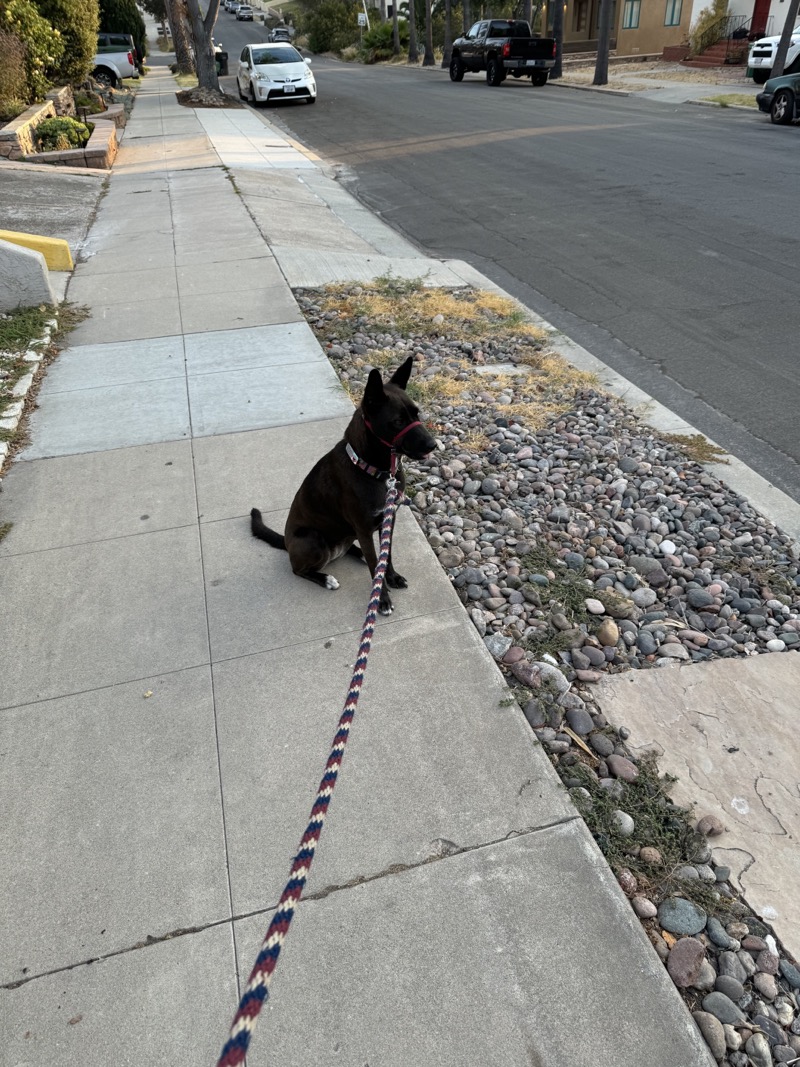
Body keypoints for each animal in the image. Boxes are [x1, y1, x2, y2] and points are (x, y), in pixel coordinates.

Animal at [253, 356, 435, 614]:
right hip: (312, 540)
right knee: (298, 570)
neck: (374, 471)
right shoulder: (364, 528)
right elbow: (375, 563)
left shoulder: (389, 520)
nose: (433, 444)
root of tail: (287, 543)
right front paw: (382, 599)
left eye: (417, 413)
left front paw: (391, 576)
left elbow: (386, 555)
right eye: (398, 421)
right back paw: (325, 578)